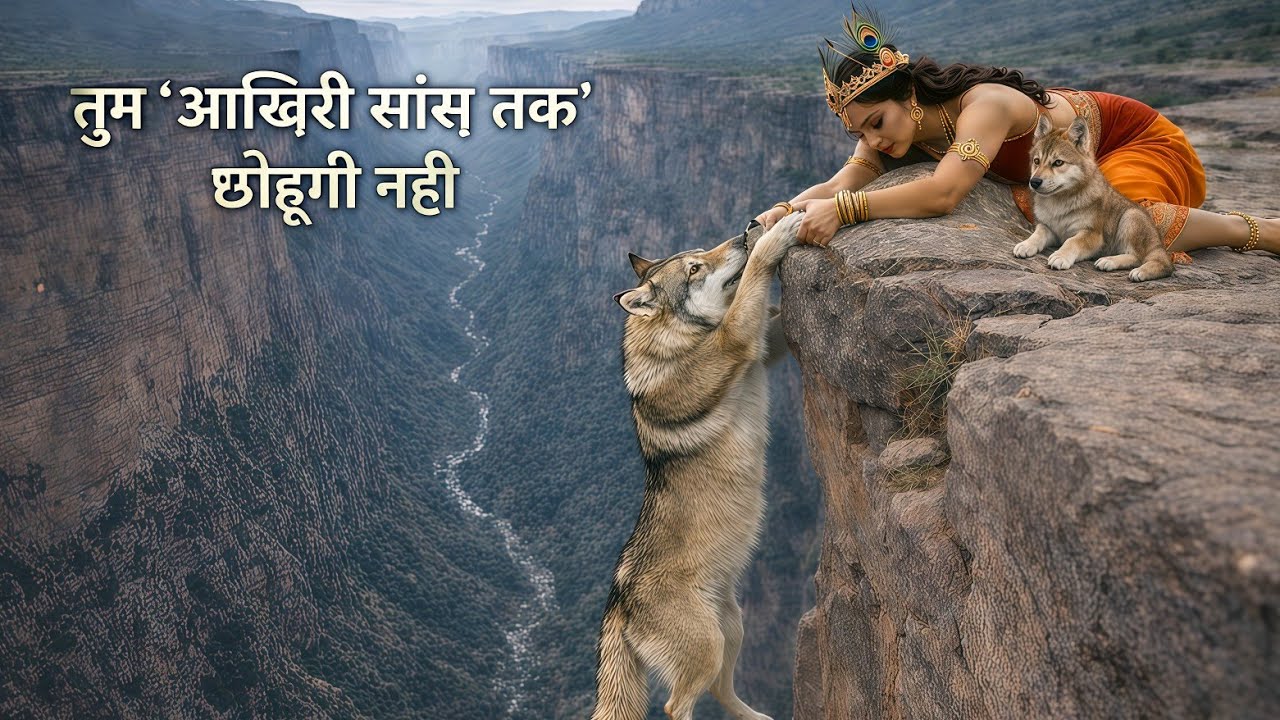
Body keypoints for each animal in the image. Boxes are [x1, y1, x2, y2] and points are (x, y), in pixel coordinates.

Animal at [593, 213, 802, 720]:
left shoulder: (761, 348)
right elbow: (755, 279)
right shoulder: (736, 341)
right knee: (676, 705)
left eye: (700, 252)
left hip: (731, 628)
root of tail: (617, 604)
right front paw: (775, 236)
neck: (683, 338)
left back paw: (758, 717)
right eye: (693, 268)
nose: (744, 230)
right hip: (706, 645)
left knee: (722, 693)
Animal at [1013, 114, 1173, 282]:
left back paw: (1111, 262)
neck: (1060, 203)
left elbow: (1072, 241)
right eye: (1036, 161)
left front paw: (1060, 256)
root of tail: (1159, 244)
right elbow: (1038, 233)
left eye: (1058, 163)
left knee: (1140, 258)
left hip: (1130, 217)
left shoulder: (1092, 235)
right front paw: (1026, 245)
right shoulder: (1050, 228)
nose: (1034, 182)